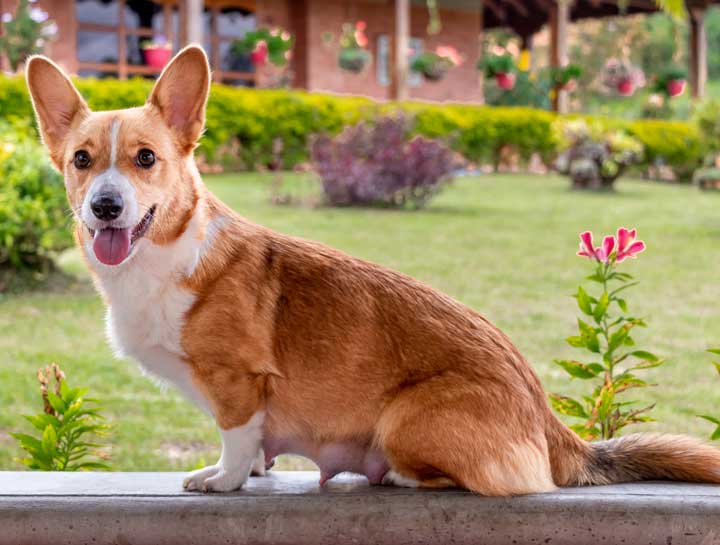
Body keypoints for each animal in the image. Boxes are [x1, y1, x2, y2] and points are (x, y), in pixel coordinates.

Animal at [26, 46, 720, 496]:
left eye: (146, 159)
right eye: (82, 160)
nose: (105, 206)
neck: (164, 255)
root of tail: (558, 434)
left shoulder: (239, 383)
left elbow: (236, 436)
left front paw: (224, 479)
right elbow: (255, 447)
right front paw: (254, 472)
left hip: (403, 418)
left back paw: (402, 475)